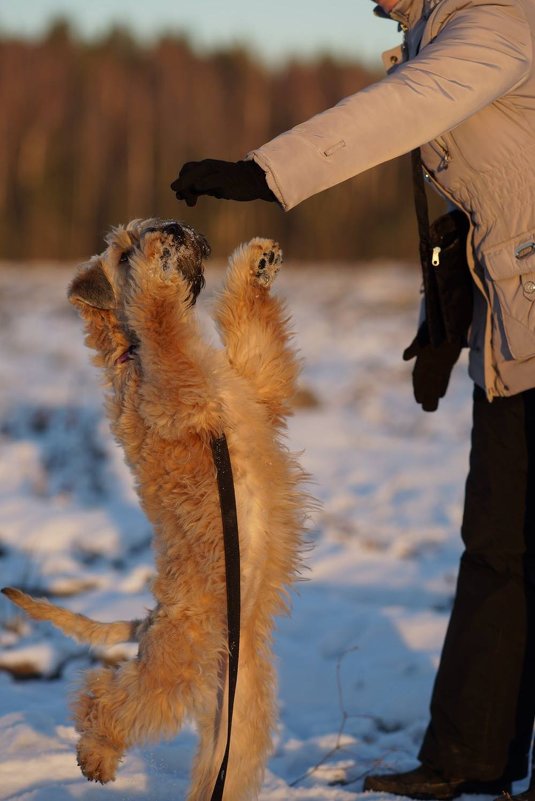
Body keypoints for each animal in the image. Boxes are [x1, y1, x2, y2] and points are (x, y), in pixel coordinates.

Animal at [2, 219, 308, 800]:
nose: (171, 229)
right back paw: (95, 757)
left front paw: (257, 263)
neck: (130, 352)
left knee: (214, 769)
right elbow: (164, 326)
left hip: (237, 723)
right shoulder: (178, 395)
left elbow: (254, 332)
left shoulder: (257, 387)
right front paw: (156, 274)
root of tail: (149, 622)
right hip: (171, 672)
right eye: (121, 251)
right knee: (104, 696)